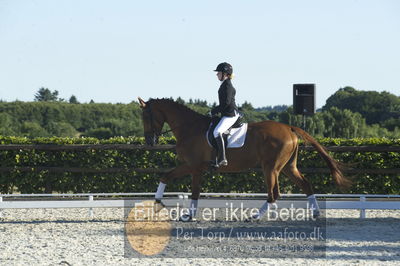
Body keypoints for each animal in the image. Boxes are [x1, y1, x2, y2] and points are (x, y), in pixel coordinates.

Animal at [138, 97, 350, 220]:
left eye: (146, 117)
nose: (149, 142)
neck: (189, 128)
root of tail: (289, 128)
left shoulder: (193, 166)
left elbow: (192, 190)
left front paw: (185, 214)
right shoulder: (192, 166)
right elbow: (166, 177)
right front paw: (158, 203)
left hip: (270, 167)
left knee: (274, 193)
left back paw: (255, 216)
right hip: (287, 167)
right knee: (303, 185)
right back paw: (314, 212)